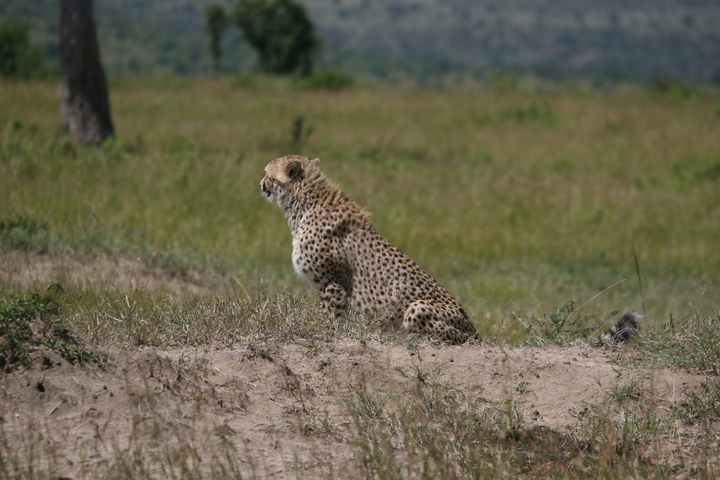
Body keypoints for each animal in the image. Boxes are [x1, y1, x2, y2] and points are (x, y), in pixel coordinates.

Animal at [260, 154, 479, 345]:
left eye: (267, 175)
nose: (261, 184)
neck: (302, 203)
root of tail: (475, 331)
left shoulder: (333, 282)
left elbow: (331, 316)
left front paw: (327, 334)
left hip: (418, 307)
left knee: (455, 337)